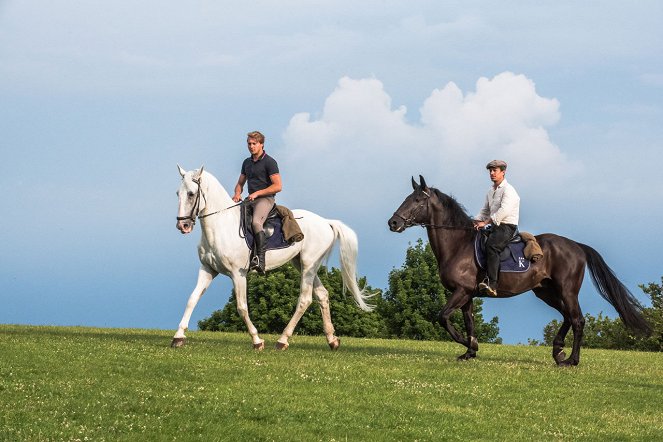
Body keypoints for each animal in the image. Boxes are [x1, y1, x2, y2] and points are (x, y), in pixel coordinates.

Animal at [174, 164, 376, 350]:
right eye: (178, 193)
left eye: (191, 194)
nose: (182, 226)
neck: (221, 226)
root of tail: (326, 222)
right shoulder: (208, 270)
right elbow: (192, 299)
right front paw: (178, 336)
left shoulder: (238, 274)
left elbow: (242, 307)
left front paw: (257, 340)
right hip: (301, 264)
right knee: (322, 295)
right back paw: (332, 340)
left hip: (309, 264)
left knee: (305, 300)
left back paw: (282, 340)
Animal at [386, 176, 652, 366]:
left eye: (417, 201)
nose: (393, 223)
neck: (458, 244)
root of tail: (577, 246)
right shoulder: (467, 295)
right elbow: (468, 322)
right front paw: (470, 350)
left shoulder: (461, 291)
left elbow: (442, 317)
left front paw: (466, 343)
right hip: (546, 292)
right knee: (568, 317)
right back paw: (558, 351)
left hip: (566, 291)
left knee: (577, 320)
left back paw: (571, 360)